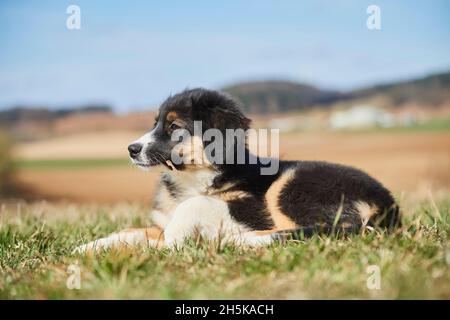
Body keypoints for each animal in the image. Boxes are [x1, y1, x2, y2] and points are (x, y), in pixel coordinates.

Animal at [74, 89, 400, 254]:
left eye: (174, 127)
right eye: (155, 123)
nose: (131, 149)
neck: (193, 177)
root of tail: (390, 206)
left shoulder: (250, 207)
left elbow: (194, 206)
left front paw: (171, 243)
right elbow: (131, 230)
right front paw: (88, 247)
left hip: (290, 187)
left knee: (320, 230)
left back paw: (237, 241)